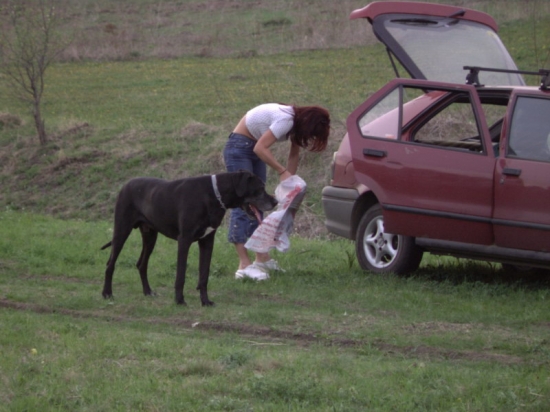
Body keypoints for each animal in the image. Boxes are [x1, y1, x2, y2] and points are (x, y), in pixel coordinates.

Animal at [101, 171, 278, 306]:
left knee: (141, 264)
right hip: (122, 230)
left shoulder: (207, 241)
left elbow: (204, 275)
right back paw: (107, 293)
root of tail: (126, 184)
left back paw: (148, 292)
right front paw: (179, 300)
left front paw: (205, 301)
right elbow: (181, 274)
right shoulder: (184, 240)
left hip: (150, 236)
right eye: (260, 188)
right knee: (110, 263)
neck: (214, 195)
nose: (275, 201)